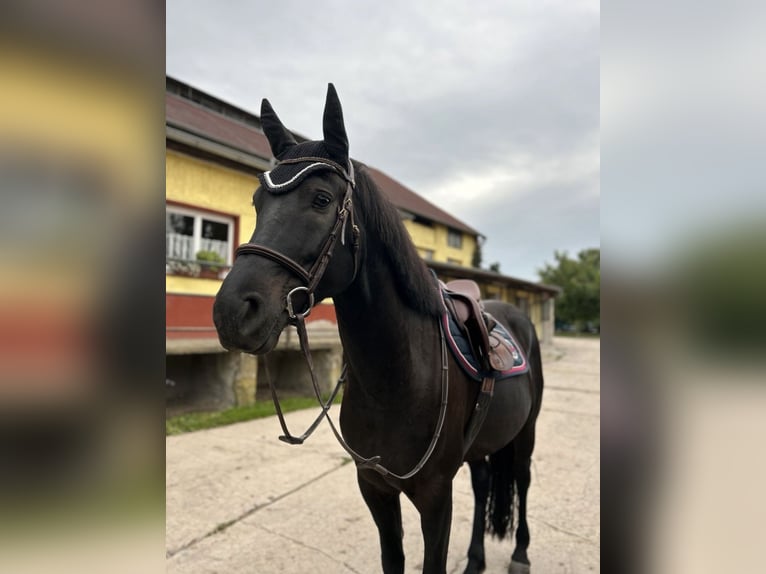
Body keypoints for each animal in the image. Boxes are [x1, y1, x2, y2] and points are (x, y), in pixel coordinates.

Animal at [213, 85, 544, 574]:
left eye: (321, 199)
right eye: (257, 202)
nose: (232, 312)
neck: (397, 379)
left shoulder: (435, 497)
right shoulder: (374, 487)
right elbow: (394, 557)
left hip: (526, 434)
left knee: (521, 481)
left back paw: (520, 552)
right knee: (485, 482)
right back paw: (475, 559)